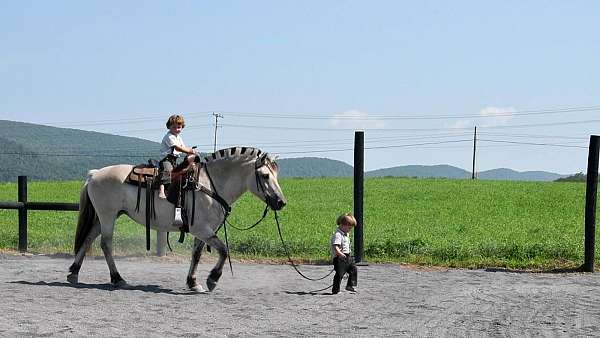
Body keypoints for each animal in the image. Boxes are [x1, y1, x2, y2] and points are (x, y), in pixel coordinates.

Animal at [67, 147, 288, 292]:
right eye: (265, 175)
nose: (281, 202)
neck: (210, 185)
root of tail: (94, 173)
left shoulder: (204, 231)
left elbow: (197, 254)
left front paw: (193, 282)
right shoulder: (202, 229)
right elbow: (224, 250)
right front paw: (212, 279)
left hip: (103, 216)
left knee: (88, 239)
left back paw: (74, 273)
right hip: (108, 216)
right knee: (105, 244)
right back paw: (117, 278)